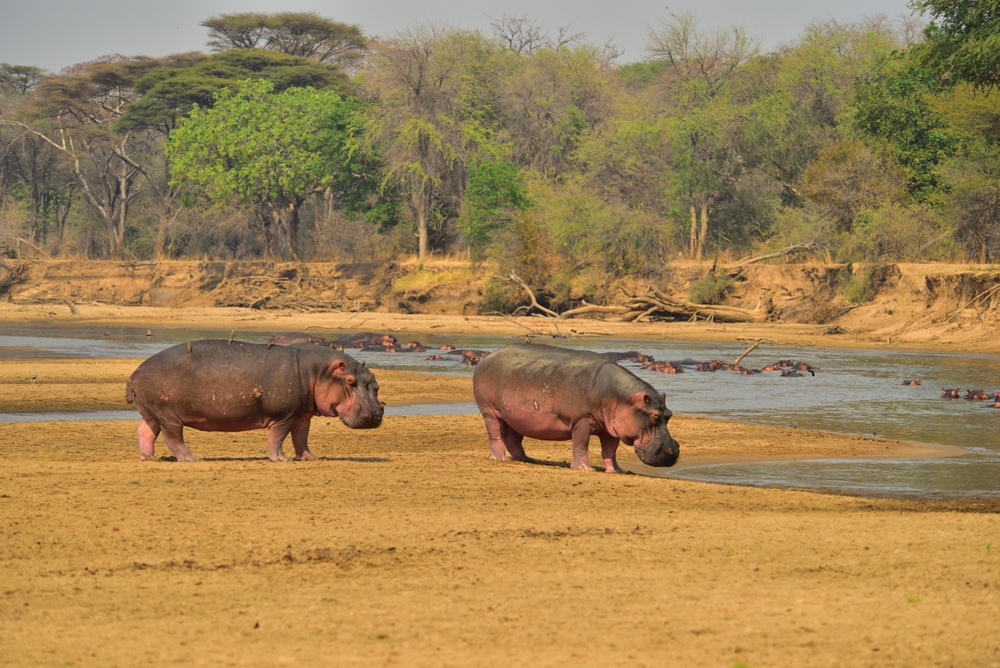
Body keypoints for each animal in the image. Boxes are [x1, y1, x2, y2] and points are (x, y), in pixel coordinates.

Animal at [125, 342, 382, 462]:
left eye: (375, 383)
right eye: (349, 380)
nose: (376, 413)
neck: (318, 372)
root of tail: (135, 372)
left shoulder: (302, 414)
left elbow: (301, 437)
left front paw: (310, 457)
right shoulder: (285, 415)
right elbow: (278, 437)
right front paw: (282, 459)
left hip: (152, 412)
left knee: (145, 431)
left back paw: (148, 457)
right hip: (168, 414)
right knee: (173, 437)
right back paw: (191, 458)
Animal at [470, 344, 680, 474]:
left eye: (669, 415)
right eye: (654, 415)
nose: (672, 451)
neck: (623, 399)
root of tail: (487, 357)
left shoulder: (610, 429)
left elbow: (610, 451)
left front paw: (616, 471)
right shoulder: (582, 421)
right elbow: (581, 444)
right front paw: (585, 469)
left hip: (514, 416)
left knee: (512, 437)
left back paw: (526, 459)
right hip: (489, 411)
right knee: (495, 434)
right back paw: (500, 459)